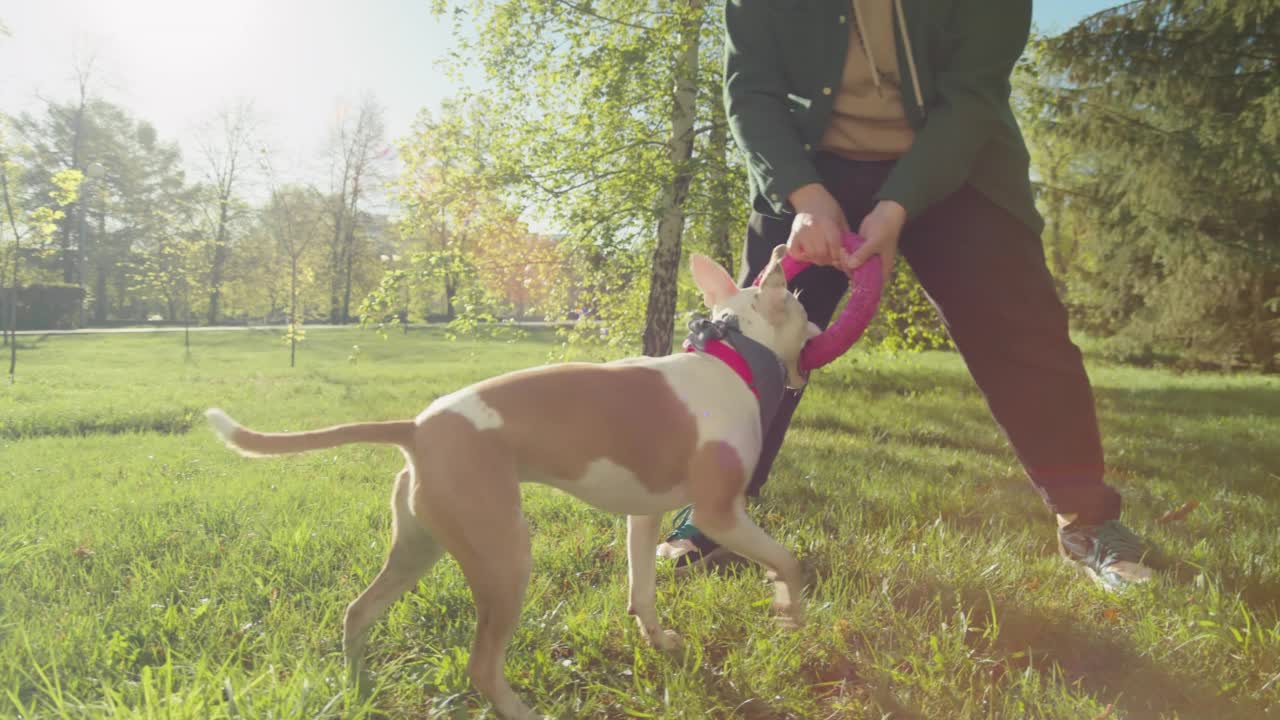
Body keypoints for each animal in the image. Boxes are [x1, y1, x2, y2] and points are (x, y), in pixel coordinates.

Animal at [200, 242, 819, 717]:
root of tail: (418, 427)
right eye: (797, 299)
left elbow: (642, 590)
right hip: (505, 558)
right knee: (480, 665)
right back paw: (518, 708)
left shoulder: (643, 515)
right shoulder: (722, 513)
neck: (733, 359)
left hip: (419, 546)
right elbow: (788, 561)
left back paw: (357, 687)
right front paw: (790, 612)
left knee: (359, 612)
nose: (817, 320)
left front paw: (661, 640)